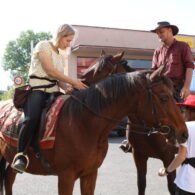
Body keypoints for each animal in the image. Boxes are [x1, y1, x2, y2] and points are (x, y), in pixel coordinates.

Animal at [0, 68, 187, 194]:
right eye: (164, 98)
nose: (184, 133)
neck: (83, 123)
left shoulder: (90, 174)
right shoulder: (66, 177)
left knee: (8, 179)